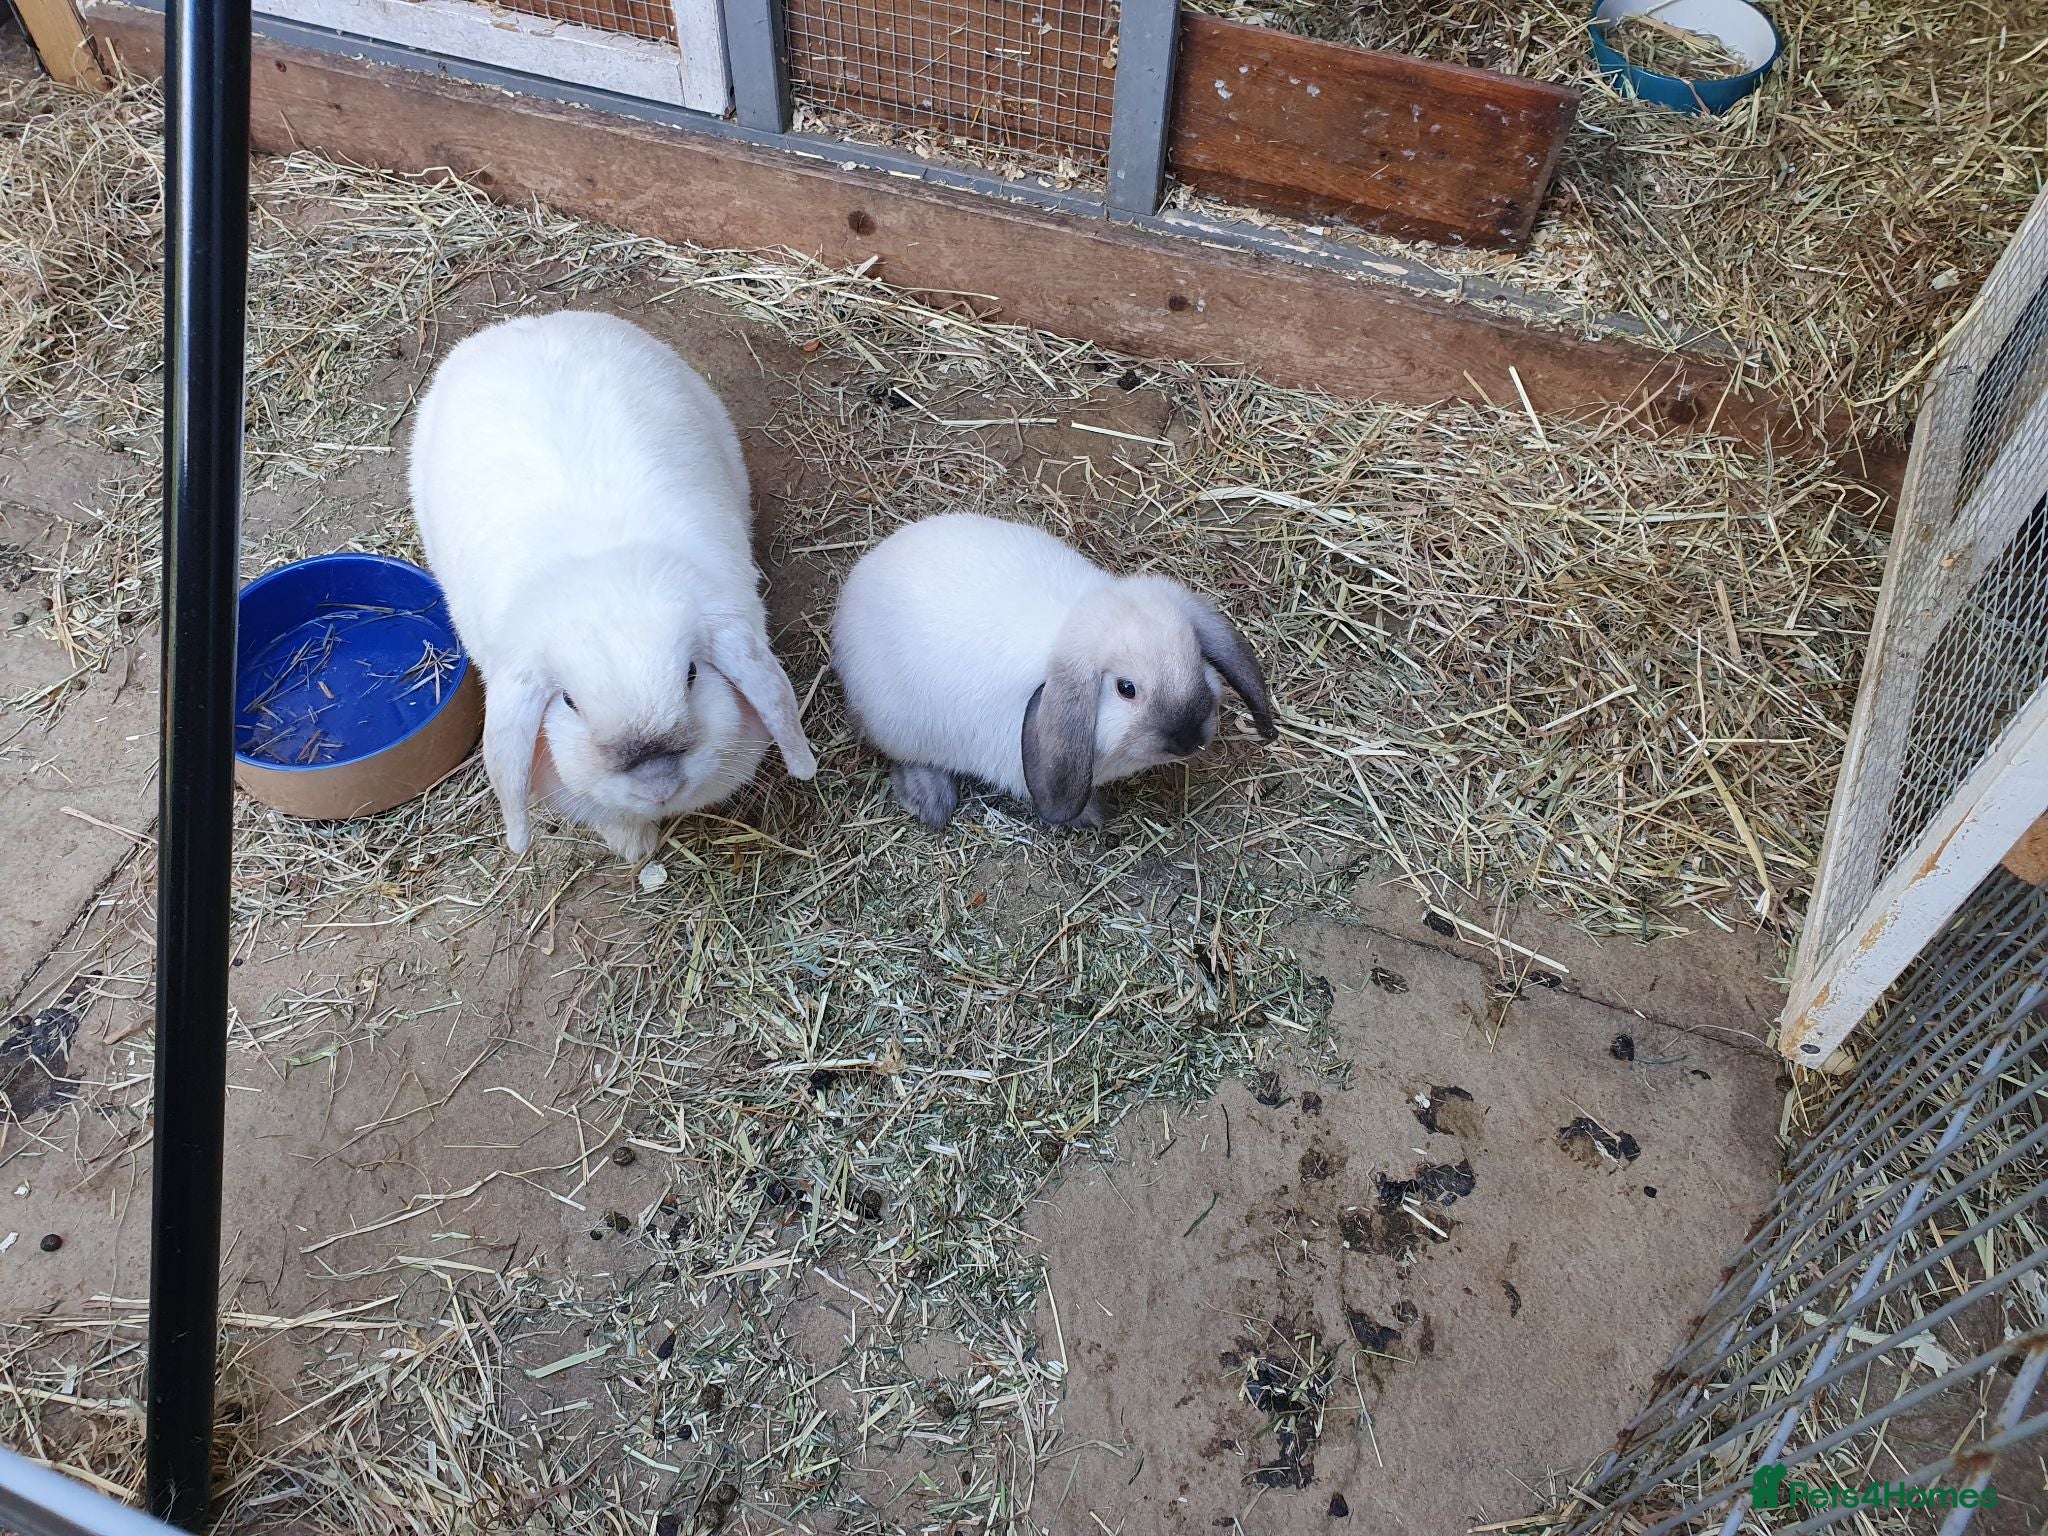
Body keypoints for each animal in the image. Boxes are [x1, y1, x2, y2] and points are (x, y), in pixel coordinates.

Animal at [408, 310, 816, 863]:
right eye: (568, 702)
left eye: (692, 675)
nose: (658, 785)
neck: (602, 573)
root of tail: (530, 324)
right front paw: (635, 848)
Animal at [831, 511, 1276, 829]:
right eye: (1126, 688)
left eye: (1197, 658)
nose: (1189, 739)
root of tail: (860, 580)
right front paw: (1090, 816)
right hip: (900, 726)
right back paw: (931, 800)